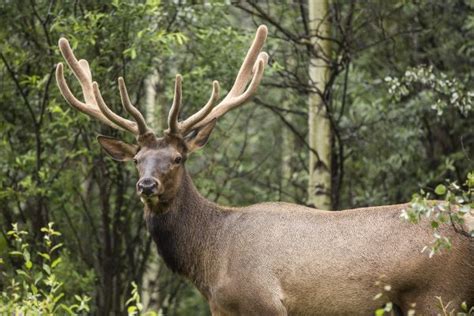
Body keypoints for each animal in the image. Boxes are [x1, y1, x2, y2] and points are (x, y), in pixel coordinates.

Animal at [56, 25, 474, 314]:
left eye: (177, 158)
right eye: (137, 159)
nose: (146, 185)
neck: (210, 261)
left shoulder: (263, 301)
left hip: (439, 295)